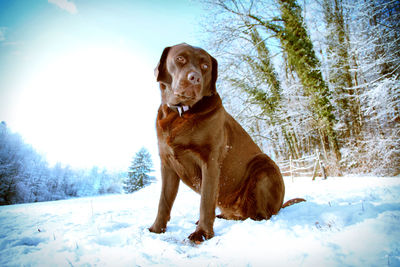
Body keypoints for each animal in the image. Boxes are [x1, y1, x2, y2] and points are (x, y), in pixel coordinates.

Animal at [150, 43, 288, 243]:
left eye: (205, 66)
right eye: (180, 58)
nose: (195, 78)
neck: (181, 114)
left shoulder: (210, 162)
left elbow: (206, 201)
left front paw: (202, 233)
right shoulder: (167, 164)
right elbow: (164, 201)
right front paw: (156, 229)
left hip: (264, 166)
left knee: (260, 214)